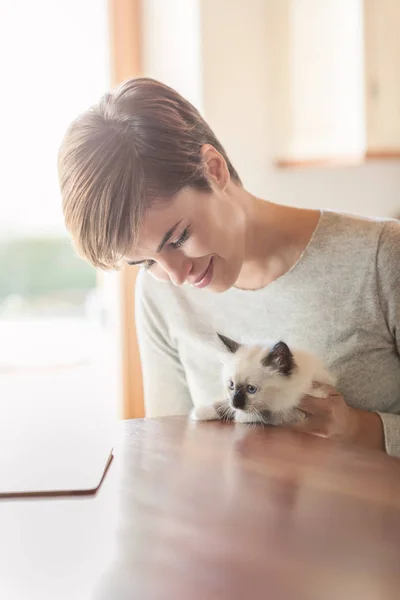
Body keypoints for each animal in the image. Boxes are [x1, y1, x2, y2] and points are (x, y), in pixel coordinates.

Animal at [192, 332, 336, 426]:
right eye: (231, 385)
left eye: (251, 389)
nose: (236, 403)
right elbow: (223, 404)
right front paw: (199, 412)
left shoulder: (292, 410)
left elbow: (261, 414)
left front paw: (239, 416)